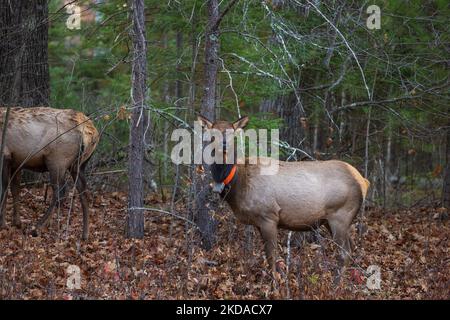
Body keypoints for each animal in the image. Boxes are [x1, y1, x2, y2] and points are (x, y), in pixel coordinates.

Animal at [0, 107, 99, 240]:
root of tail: (90, 131)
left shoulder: (5, 155)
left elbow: (4, 190)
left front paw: (3, 224)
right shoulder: (17, 161)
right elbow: (15, 189)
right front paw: (16, 222)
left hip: (57, 160)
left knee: (61, 193)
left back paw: (37, 227)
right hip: (78, 165)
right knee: (83, 192)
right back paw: (85, 234)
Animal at [197, 115, 370, 276]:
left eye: (232, 133)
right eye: (212, 134)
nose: (223, 145)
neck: (238, 184)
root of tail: (363, 181)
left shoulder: (269, 215)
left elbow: (271, 256)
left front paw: (275, 283)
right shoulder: (259, 222)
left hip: (340, 215)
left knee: (345, 252)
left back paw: (337, 284)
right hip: (332, 220)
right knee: (352, 247)